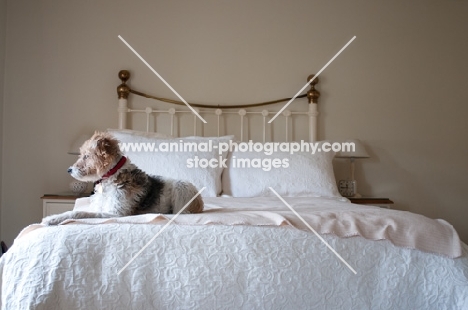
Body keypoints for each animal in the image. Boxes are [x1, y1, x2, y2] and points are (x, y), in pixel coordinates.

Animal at [43, 131, 204, 225]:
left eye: (86, 156)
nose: (68, 170)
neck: (112, 176)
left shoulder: (116, 213)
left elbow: (78, 212)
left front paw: (51, 219)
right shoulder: (101, 208)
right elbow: (75, 211)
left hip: (181, 186)